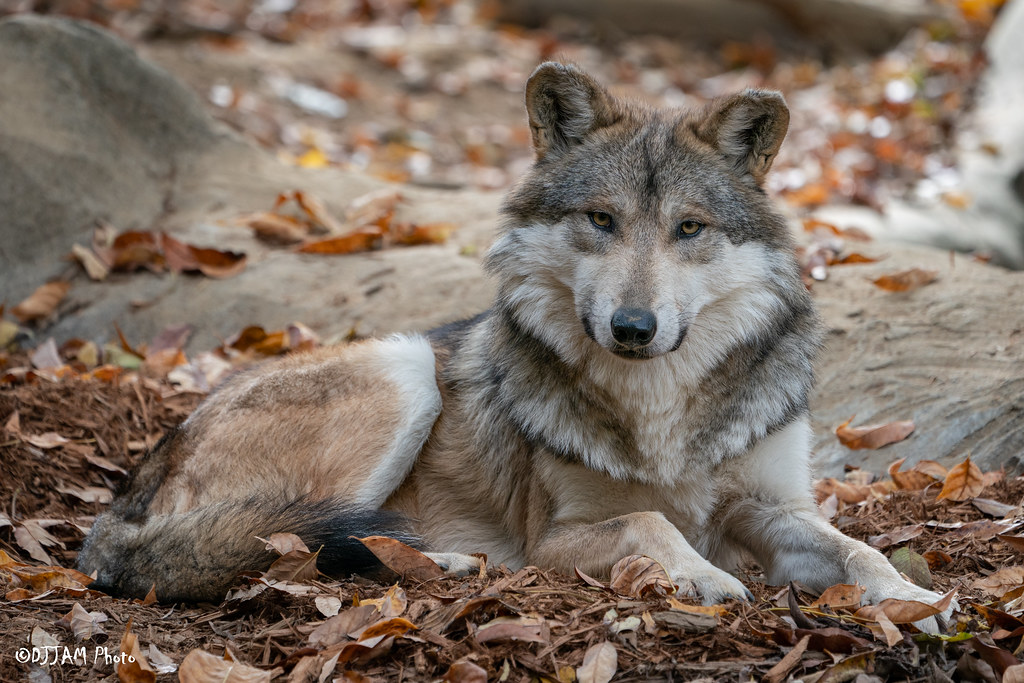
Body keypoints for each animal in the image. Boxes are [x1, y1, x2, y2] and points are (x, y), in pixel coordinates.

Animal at [78, 62, 950, 627]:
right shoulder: (552, 539)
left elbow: (857, 548)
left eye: (689, 228)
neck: (660, 409)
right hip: (404, 369)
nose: (632, 327)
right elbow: (651, 521)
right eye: (601, 220)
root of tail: (129, 495)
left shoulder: (772, 507)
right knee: (287, 541)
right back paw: (450, 563)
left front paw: (914, 598)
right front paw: (701, 578)